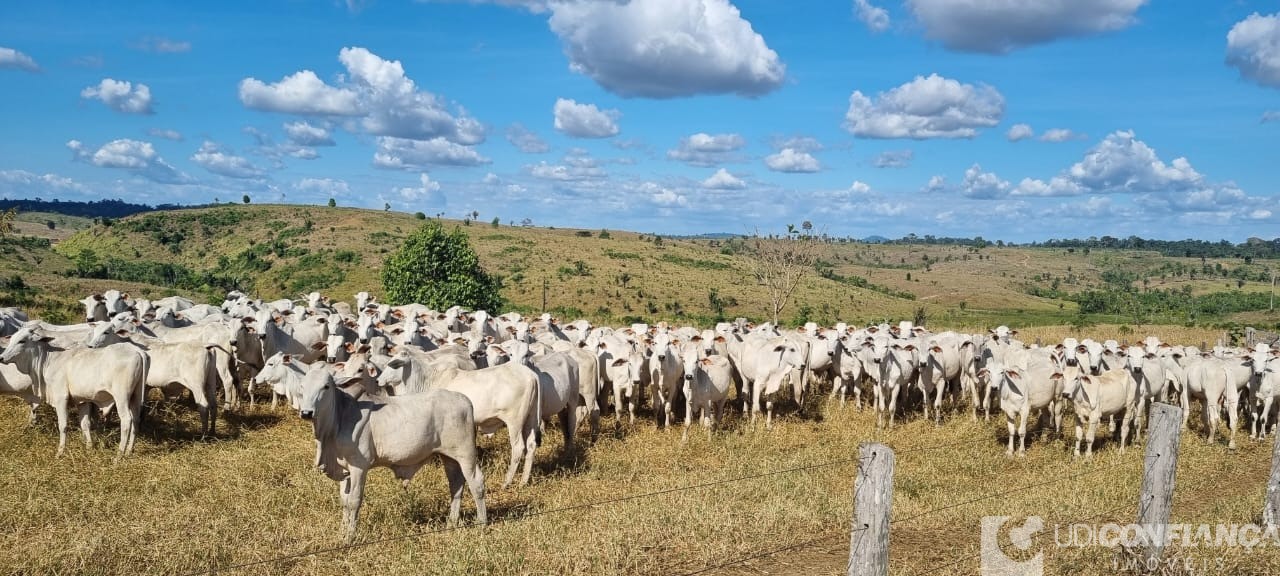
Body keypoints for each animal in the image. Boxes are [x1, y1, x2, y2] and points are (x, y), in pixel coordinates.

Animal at [0, 323, 146, 458]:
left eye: (22, 341)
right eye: (12, 339)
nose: (1, 357)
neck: (49, 360)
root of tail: (138, 351)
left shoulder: (60, 397)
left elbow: (63, 425)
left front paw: (60, 452)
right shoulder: (82, 401)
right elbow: (85, 424)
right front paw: (89, 448)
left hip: (122, 396)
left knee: (126, 420)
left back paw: (118, 456)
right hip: (136, 396)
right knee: (136, 420)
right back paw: (129, 451)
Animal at [296, 366, 486, 542]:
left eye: (326, 386)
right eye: (302, 386)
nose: (306, 413)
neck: (339, 417)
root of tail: (465, 400)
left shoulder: (359, 466)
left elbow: (354, 501)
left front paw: (350, 536)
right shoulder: (345, 469)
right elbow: (344, 500)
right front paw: (342, 532)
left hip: (466, 453)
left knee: (476, 482)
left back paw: (481, 523)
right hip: (449, 456)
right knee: (456, 484)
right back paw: (451, 522)